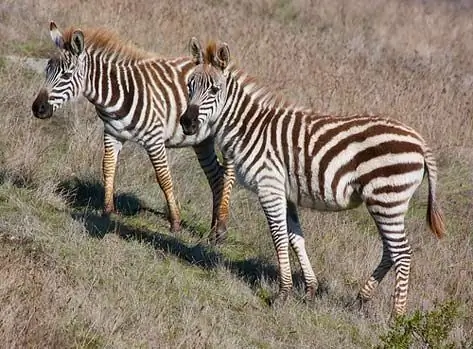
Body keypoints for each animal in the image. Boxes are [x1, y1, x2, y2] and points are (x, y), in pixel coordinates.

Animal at [29, 21, 232, 239]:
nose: (38, 108)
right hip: (202, 141)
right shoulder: (112, 133)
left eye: (66, 75)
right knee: (216, 176)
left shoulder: (154, 139)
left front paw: (176, 223)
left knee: (227, 175)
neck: (117, 94)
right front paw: (107, 211)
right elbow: (108, 168)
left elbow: (164, 178)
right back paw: (213, 229)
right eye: (47, 70)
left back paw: (221, 227)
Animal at [179, 38, 444, 316]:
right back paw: (362, 298)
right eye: (190, 85)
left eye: (214, 89)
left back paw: (396, 316)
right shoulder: (285, 193)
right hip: (386, 203)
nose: (186, 123)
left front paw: (282, 294)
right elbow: (296, 239)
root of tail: (420, 141)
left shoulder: (269, 186)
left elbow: (279, 238)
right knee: (390, 250)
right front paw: (309, 290)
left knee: (402, 253)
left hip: (386, 199)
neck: (250, 127)